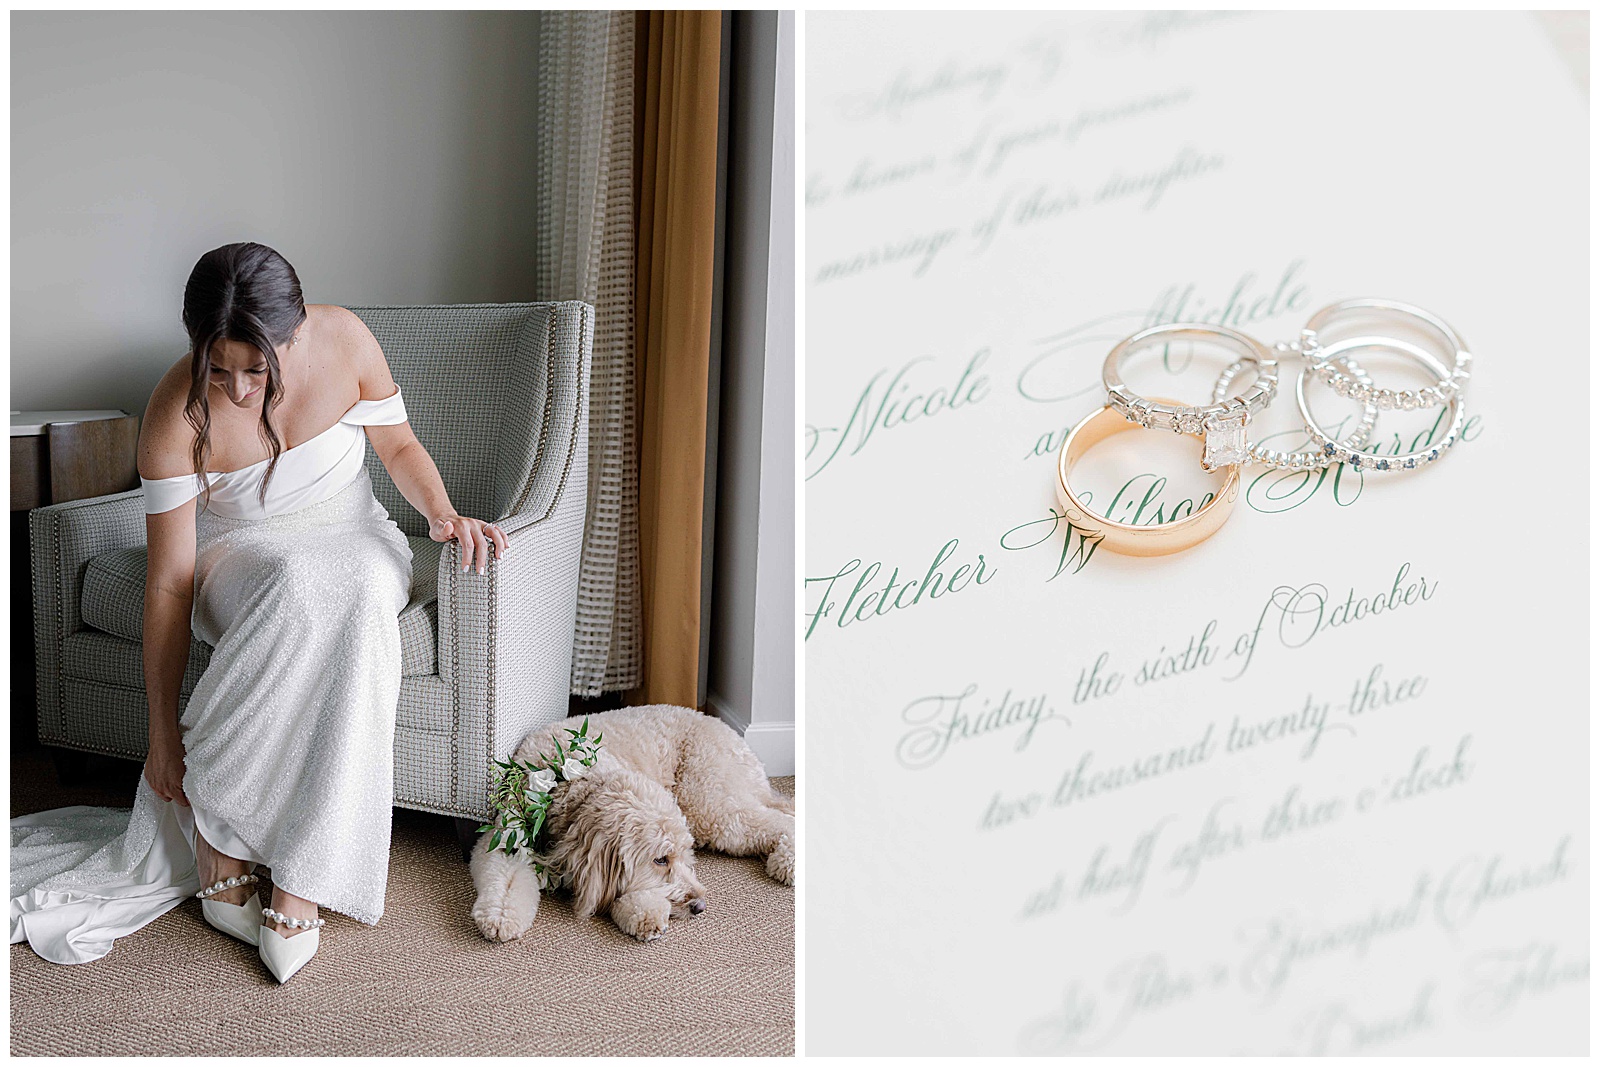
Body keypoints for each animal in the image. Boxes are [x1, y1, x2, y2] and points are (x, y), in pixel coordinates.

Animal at [467, 710, 793, 940]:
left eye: (681, 856)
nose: (699, 906)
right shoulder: (507, 837)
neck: (572, 784)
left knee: (776, 820)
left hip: (709, 804)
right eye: (661, 860)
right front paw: (500, 917)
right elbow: (505, 878)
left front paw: (643, 912)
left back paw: (787, 861)